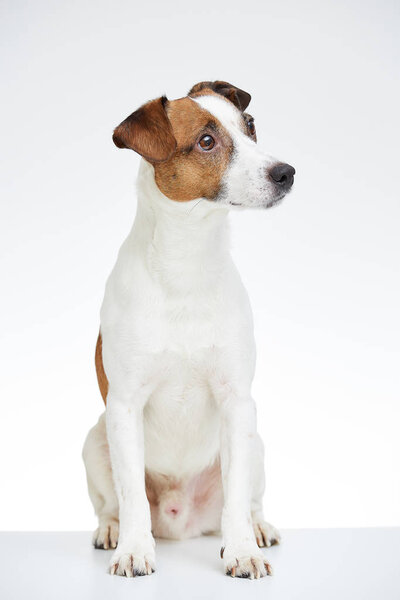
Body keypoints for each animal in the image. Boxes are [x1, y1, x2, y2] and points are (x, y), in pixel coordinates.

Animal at [82, 82, 294, 580]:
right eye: (206, 141)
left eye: (250, 126)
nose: (286, 173)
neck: (187, 264)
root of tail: (183, 523)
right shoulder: (124, 406)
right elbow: (131, 496)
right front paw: (134, 549)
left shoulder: (237, 402)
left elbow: (236, 496)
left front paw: (242, 551)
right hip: (96, 439)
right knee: (113, 503)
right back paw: (112, 530)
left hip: (255, 443)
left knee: (248, 499)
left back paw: (258, 527)